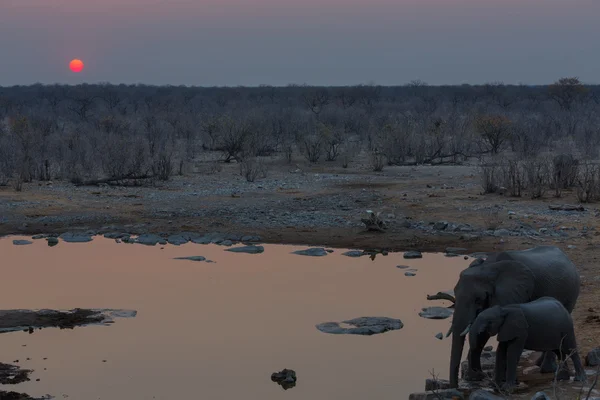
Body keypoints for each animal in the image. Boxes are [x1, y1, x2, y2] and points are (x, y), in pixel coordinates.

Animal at [448, 245, 580, 390]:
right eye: (454, 292)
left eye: (478, 299)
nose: (455, 386)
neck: (489, 268)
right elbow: (482, 331)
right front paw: (474, 377)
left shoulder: (513, 295)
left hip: (570, 296)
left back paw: (546, 369)